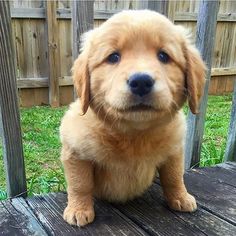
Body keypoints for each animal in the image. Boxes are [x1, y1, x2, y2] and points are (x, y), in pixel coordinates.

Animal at [60, 9, 206, 227]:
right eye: (113, 57)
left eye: (163, 56)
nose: (141, 82)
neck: (135, 133)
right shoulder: (75, 152)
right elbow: (80, 184)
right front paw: (79, 209)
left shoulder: (174, 150)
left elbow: (174, 176)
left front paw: (181, 197)